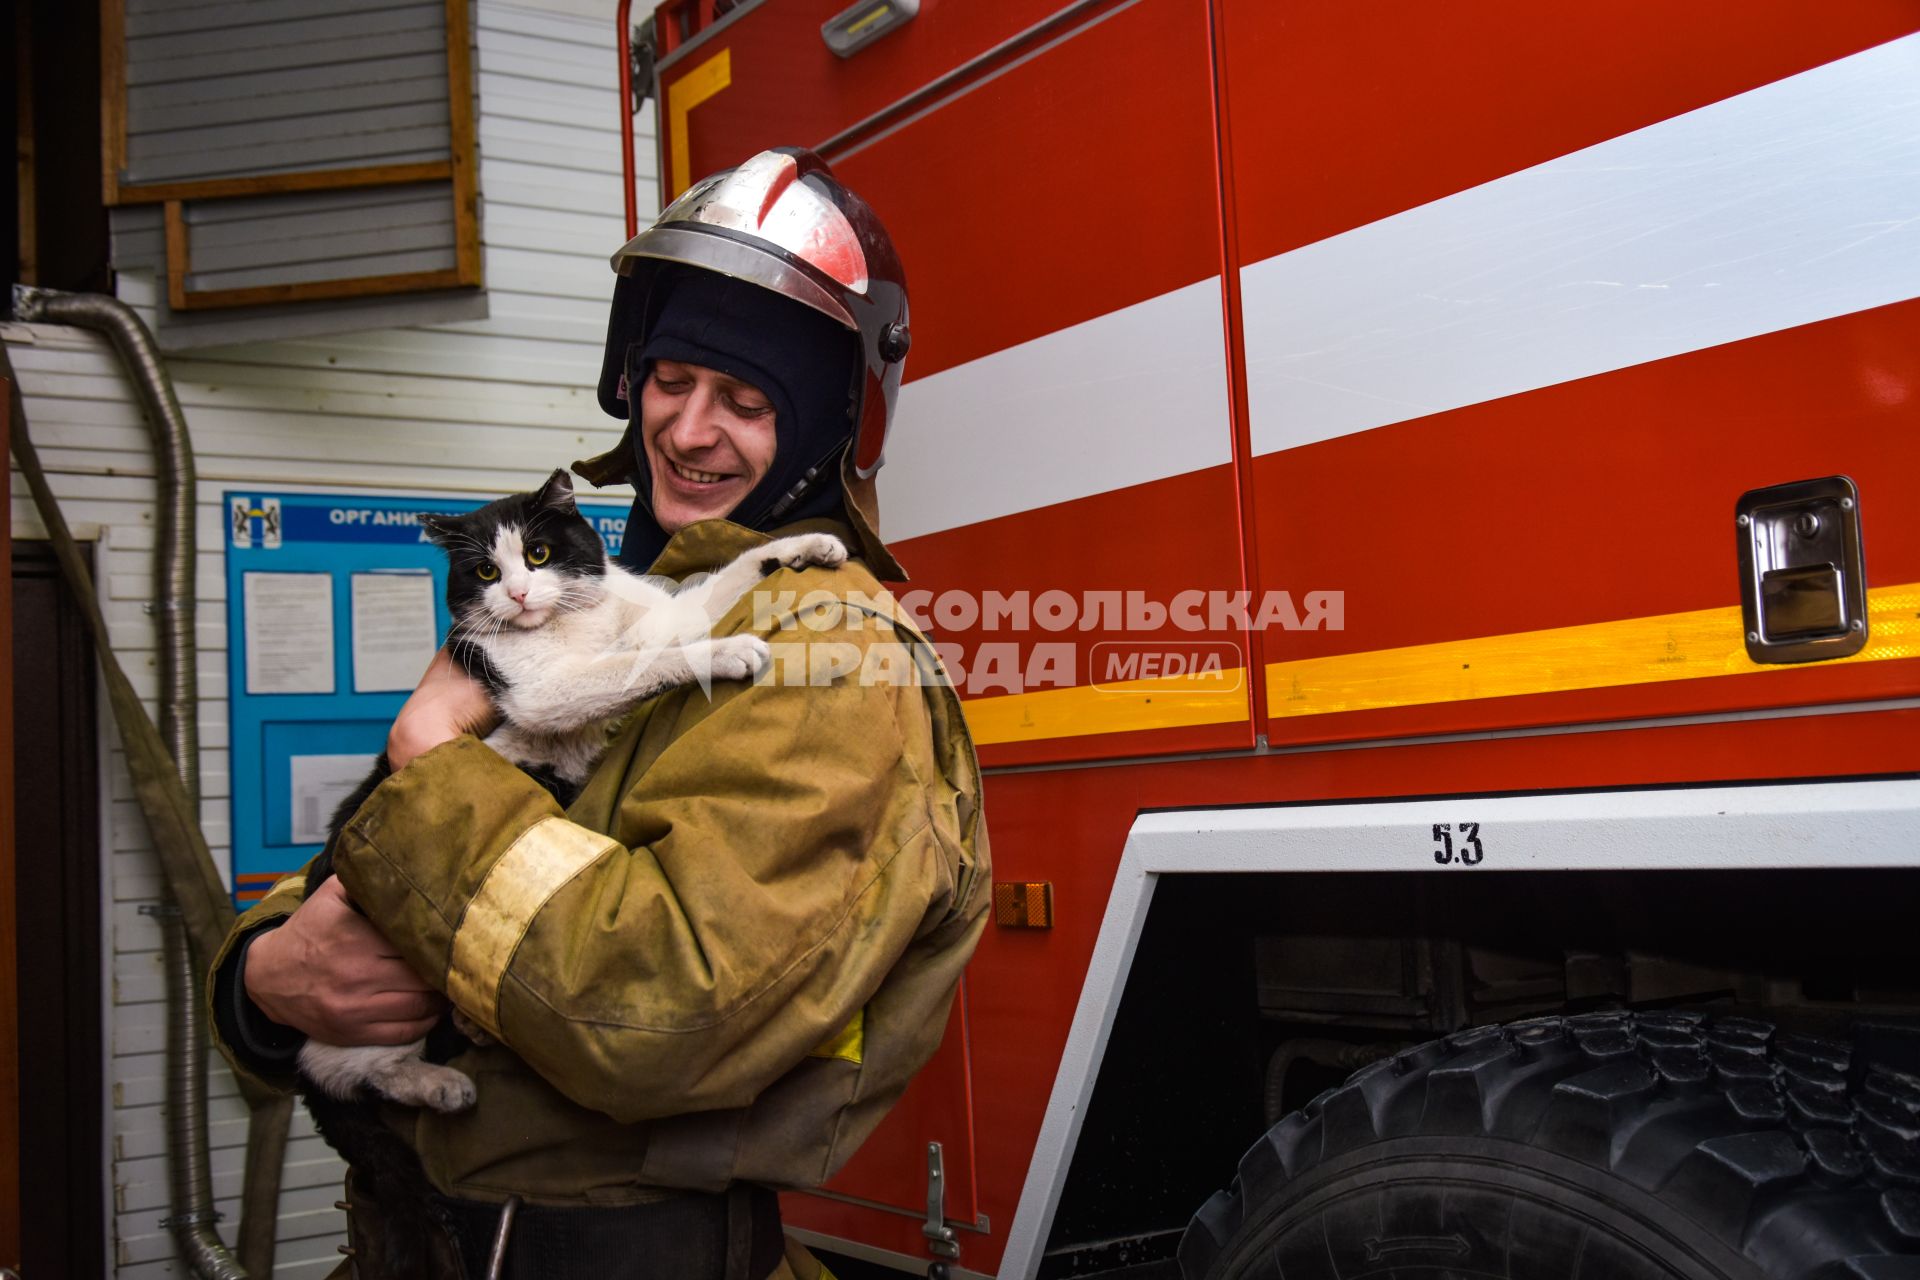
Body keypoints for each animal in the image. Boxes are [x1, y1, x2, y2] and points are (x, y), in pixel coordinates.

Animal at [291, 470, 840, 1274]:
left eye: (540, 554)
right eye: (484, 572)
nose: (519, 595)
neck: (572, 625)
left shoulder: (656, 618)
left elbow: (713, 589)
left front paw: (804, 547)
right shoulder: (544, 689)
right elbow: (637, 664)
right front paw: (729, 651)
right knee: (352, 1069)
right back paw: (441, 1083)